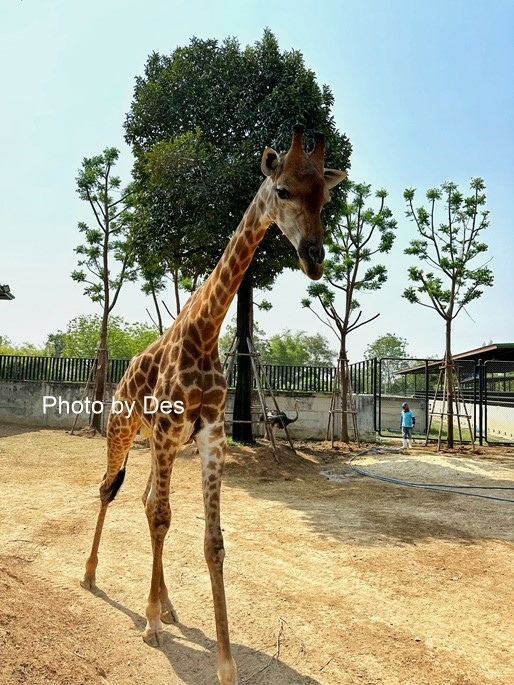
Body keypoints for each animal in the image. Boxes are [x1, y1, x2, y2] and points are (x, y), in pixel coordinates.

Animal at [81, 124, 344, 684]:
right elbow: (163, 517)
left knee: (144, 500)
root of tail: (123, 375)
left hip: (163, 442)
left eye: (326, 197)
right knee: (111, 491)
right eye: (283, 190)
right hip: (123, 427)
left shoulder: (210, 434)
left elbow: (211, 540)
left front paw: (225, 664)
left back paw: (168, 607)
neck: (205, 333)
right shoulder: (166, 429)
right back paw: (92, 577)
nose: (314, 257)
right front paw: (149, 627)